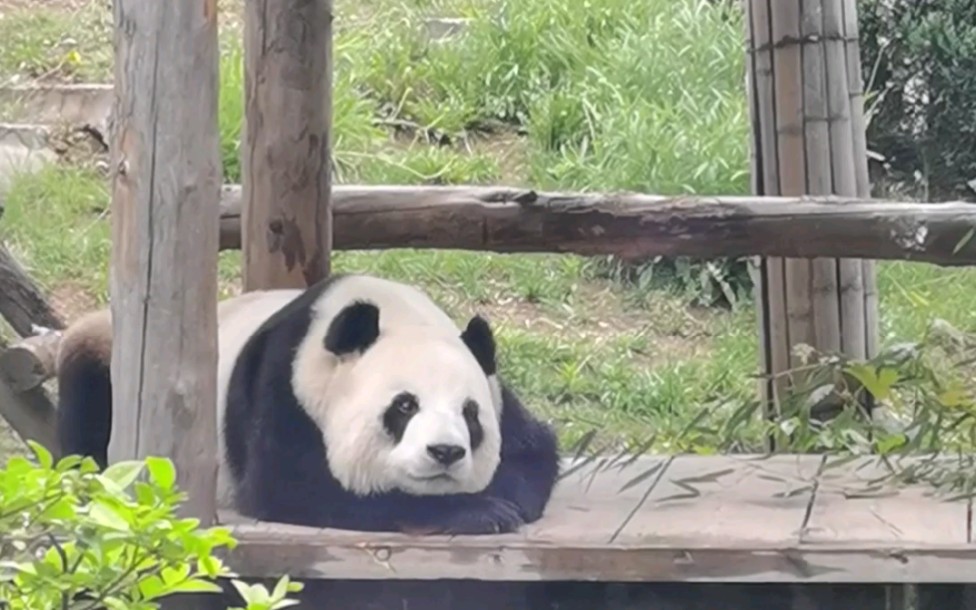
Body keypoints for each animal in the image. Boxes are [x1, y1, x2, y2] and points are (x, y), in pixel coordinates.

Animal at [55, 270, 556, 532]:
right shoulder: (284, 384)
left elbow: (534, 453)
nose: (446, 452)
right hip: (101, 356)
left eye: (470, 415)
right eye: (405, 406)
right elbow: (295, 487)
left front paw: (498, 501)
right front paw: (479, 512)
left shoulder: (496, 390)